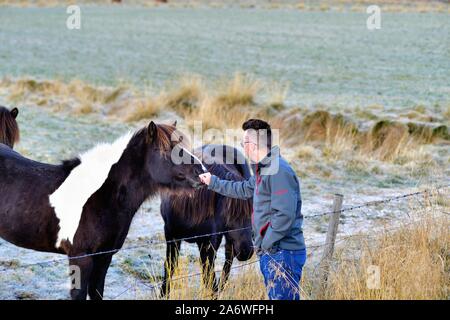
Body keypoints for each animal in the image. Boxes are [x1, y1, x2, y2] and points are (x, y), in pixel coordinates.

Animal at [0, 120, 204, 300]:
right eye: (164, 150)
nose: (202, 173)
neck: (101, 195)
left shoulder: (104, 257)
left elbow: (97, 292)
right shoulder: (80, 258)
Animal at [160, 145, 255, 298]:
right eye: (229, 212)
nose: (246, 252)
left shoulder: (208, 243)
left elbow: (209, 277)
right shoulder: (171, 235)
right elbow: (170, 266)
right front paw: (163, 294)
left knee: (228, 259)